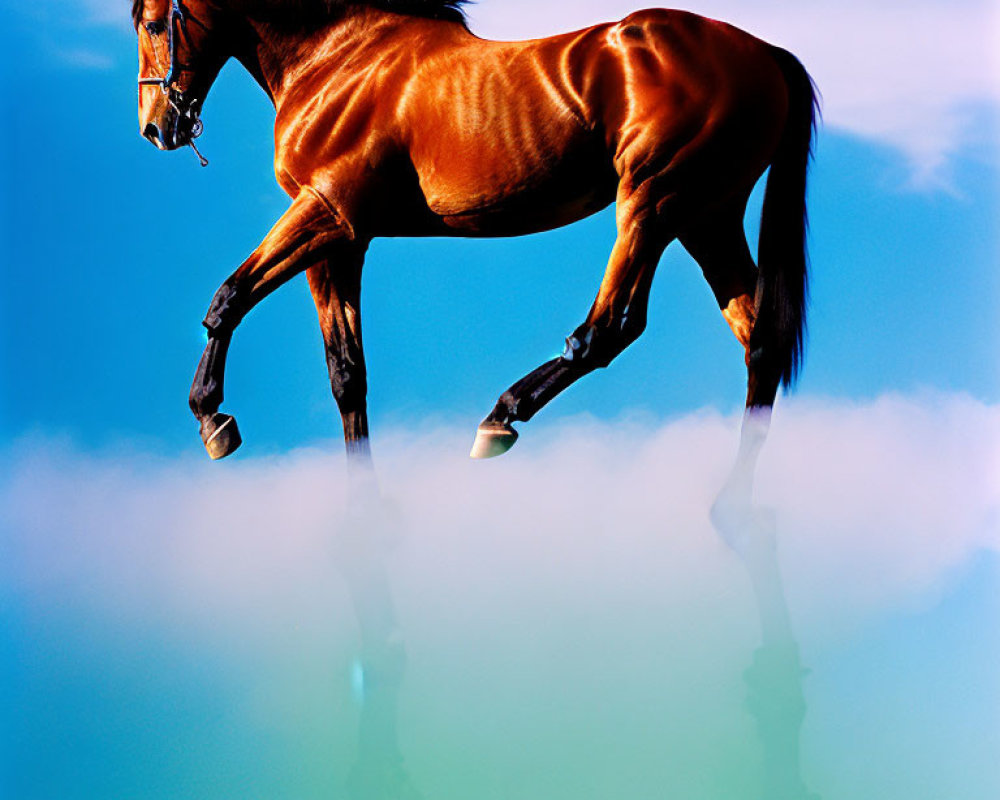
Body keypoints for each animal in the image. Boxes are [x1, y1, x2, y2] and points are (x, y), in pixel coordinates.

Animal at [135, 1, 812, 500]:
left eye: (152, 20)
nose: (156, 127)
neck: (340, 56)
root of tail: (766, 55)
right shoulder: (343, 244)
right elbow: (347, 372)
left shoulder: (326, 213)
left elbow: (229, 296)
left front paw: (211, 417)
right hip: (706, 217)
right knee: (760, 344)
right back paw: (737, 500)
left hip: (653, 199)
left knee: (609, 328)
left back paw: (501, 417)